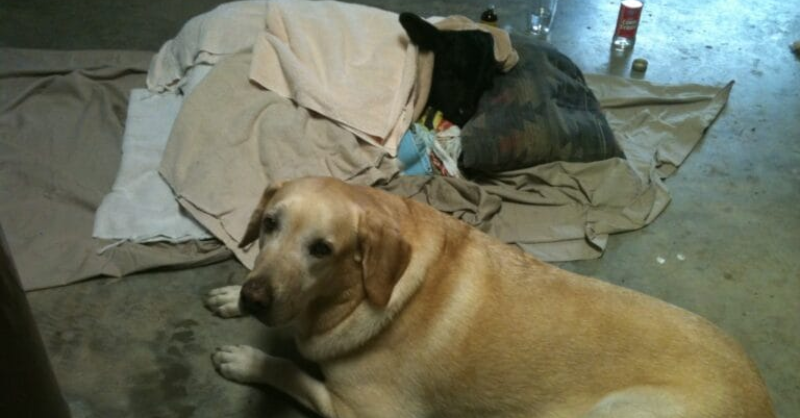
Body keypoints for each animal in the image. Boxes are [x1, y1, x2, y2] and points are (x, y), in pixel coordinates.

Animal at [205, 177, 774, 418]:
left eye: (322, 249)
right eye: (269, 224)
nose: (256, 298)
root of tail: (763, 398)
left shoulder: (366, 412)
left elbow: (295, 373)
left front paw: (248, 360)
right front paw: (234, 295)